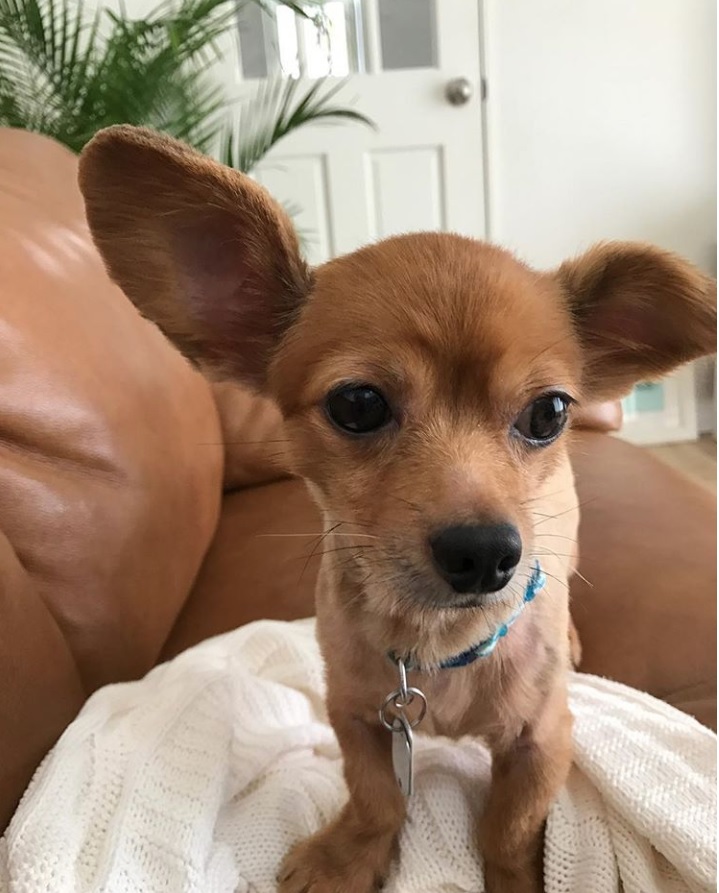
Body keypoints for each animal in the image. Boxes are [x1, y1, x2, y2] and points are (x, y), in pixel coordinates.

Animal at [77, 127, 716, 892]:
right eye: (357, 404)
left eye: (549, 412)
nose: (486, 553)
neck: (435, 646)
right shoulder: (356, 717)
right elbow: (376, 796)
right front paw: (347, 857)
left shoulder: (542, 739)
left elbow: (509, 828)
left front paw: (510, 877)